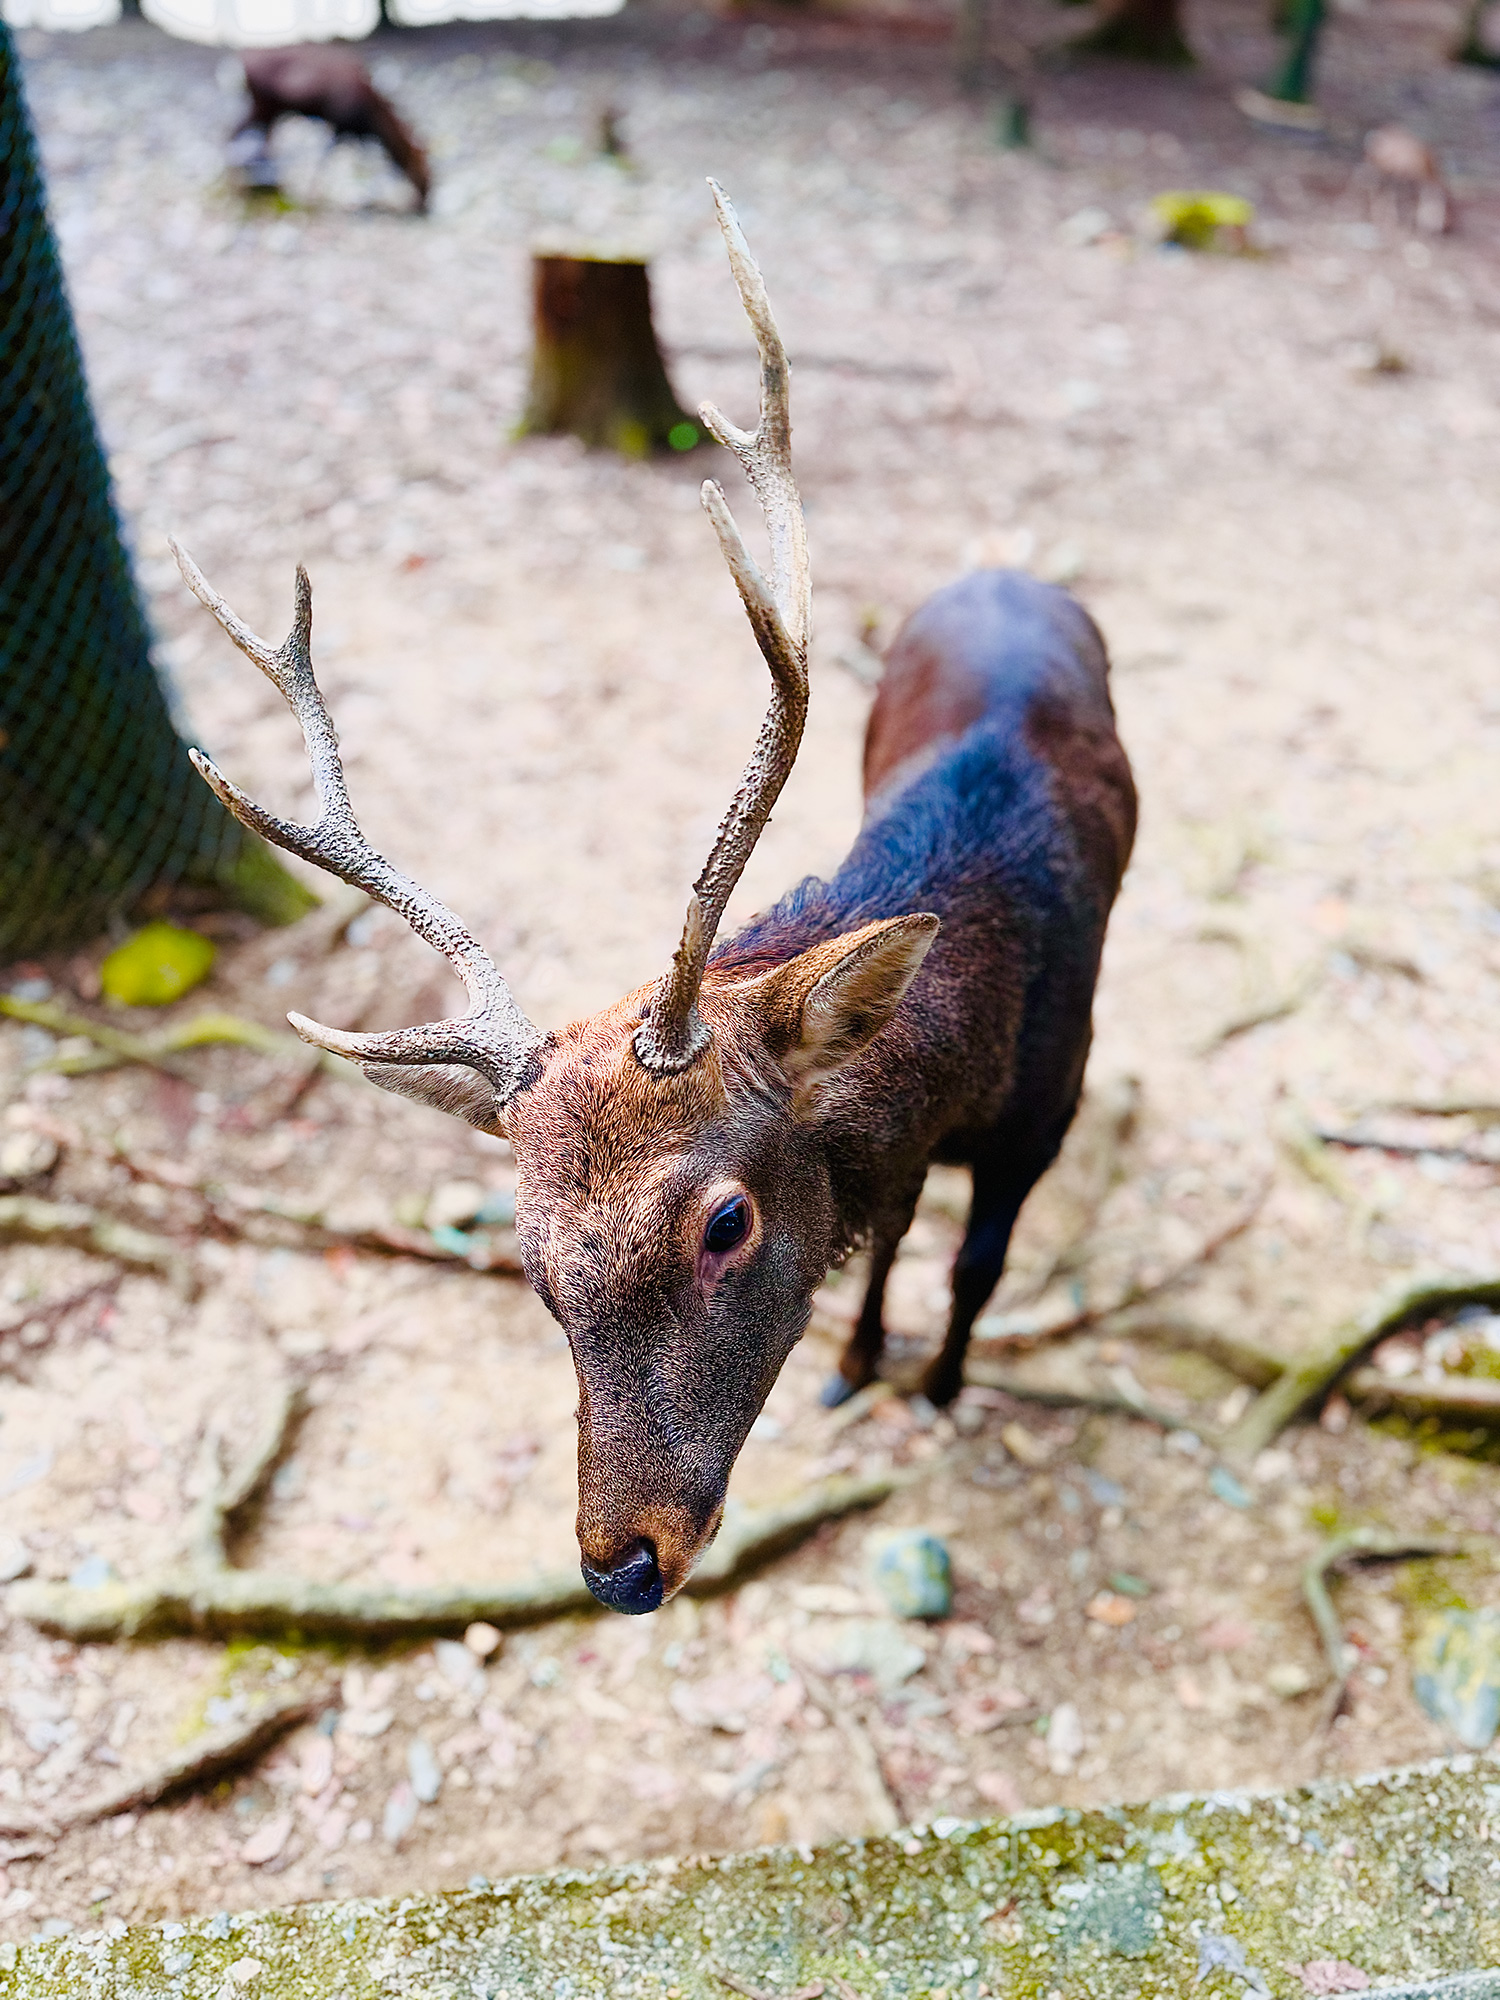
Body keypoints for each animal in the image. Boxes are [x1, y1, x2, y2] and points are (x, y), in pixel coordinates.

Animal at [169, 183, 1136, 1617]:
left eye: (725, 1220)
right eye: (529, 1260)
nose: (619, 1564)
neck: (983, 1033)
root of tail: (1005, 568)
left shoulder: (1045, 1111)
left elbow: (976, 1260)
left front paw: (944, 1385)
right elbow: (891, 1230)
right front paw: (858, 1364)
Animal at [231, 47, 430, 212]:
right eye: (424, 169)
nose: (424, 204)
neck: (374, 122)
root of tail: (241, 61)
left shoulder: (351, 133)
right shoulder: (340, 126)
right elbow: (327, 159)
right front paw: (312, 197)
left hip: (270, 109)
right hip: (264, 106)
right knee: (236, 134)